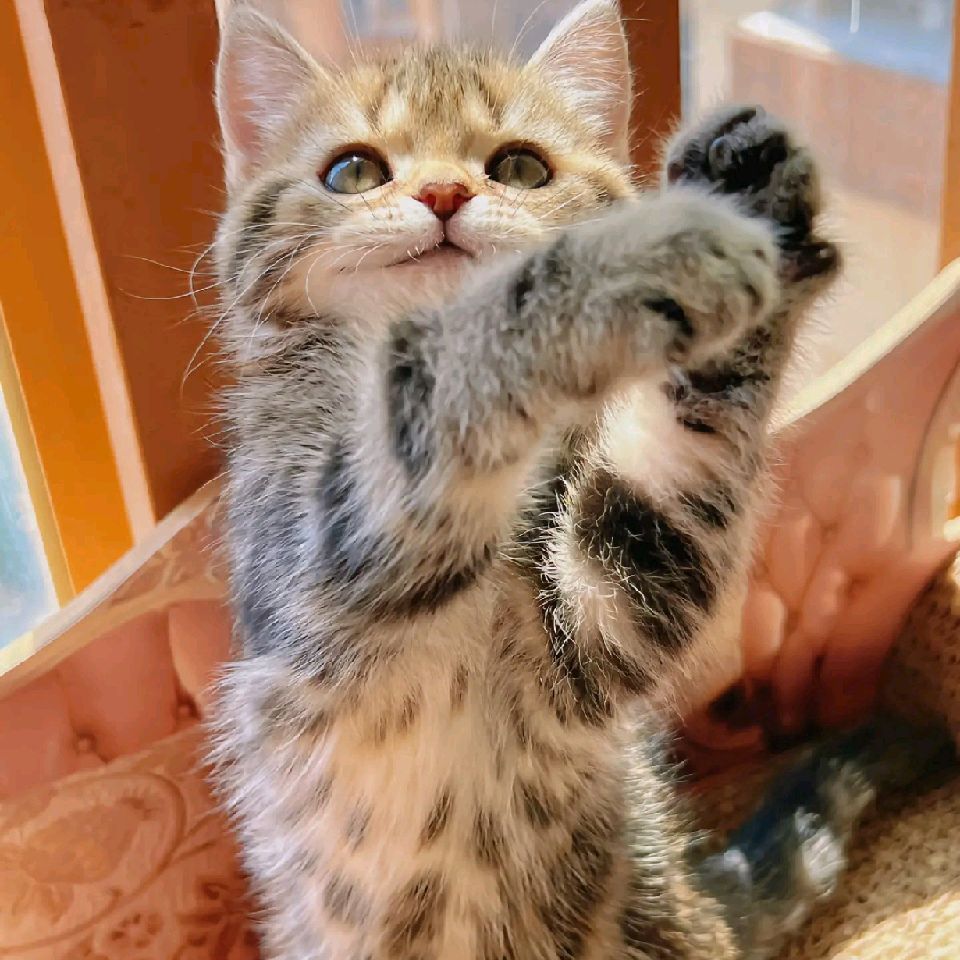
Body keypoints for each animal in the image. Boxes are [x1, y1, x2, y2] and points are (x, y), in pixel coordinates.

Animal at [208, 2, 947, 958]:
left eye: (520, 166)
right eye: (352, 170)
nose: (443, 195)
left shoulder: (599, 624)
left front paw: (745, 205)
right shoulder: (301, 548)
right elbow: (445, 373)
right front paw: (633, 258)